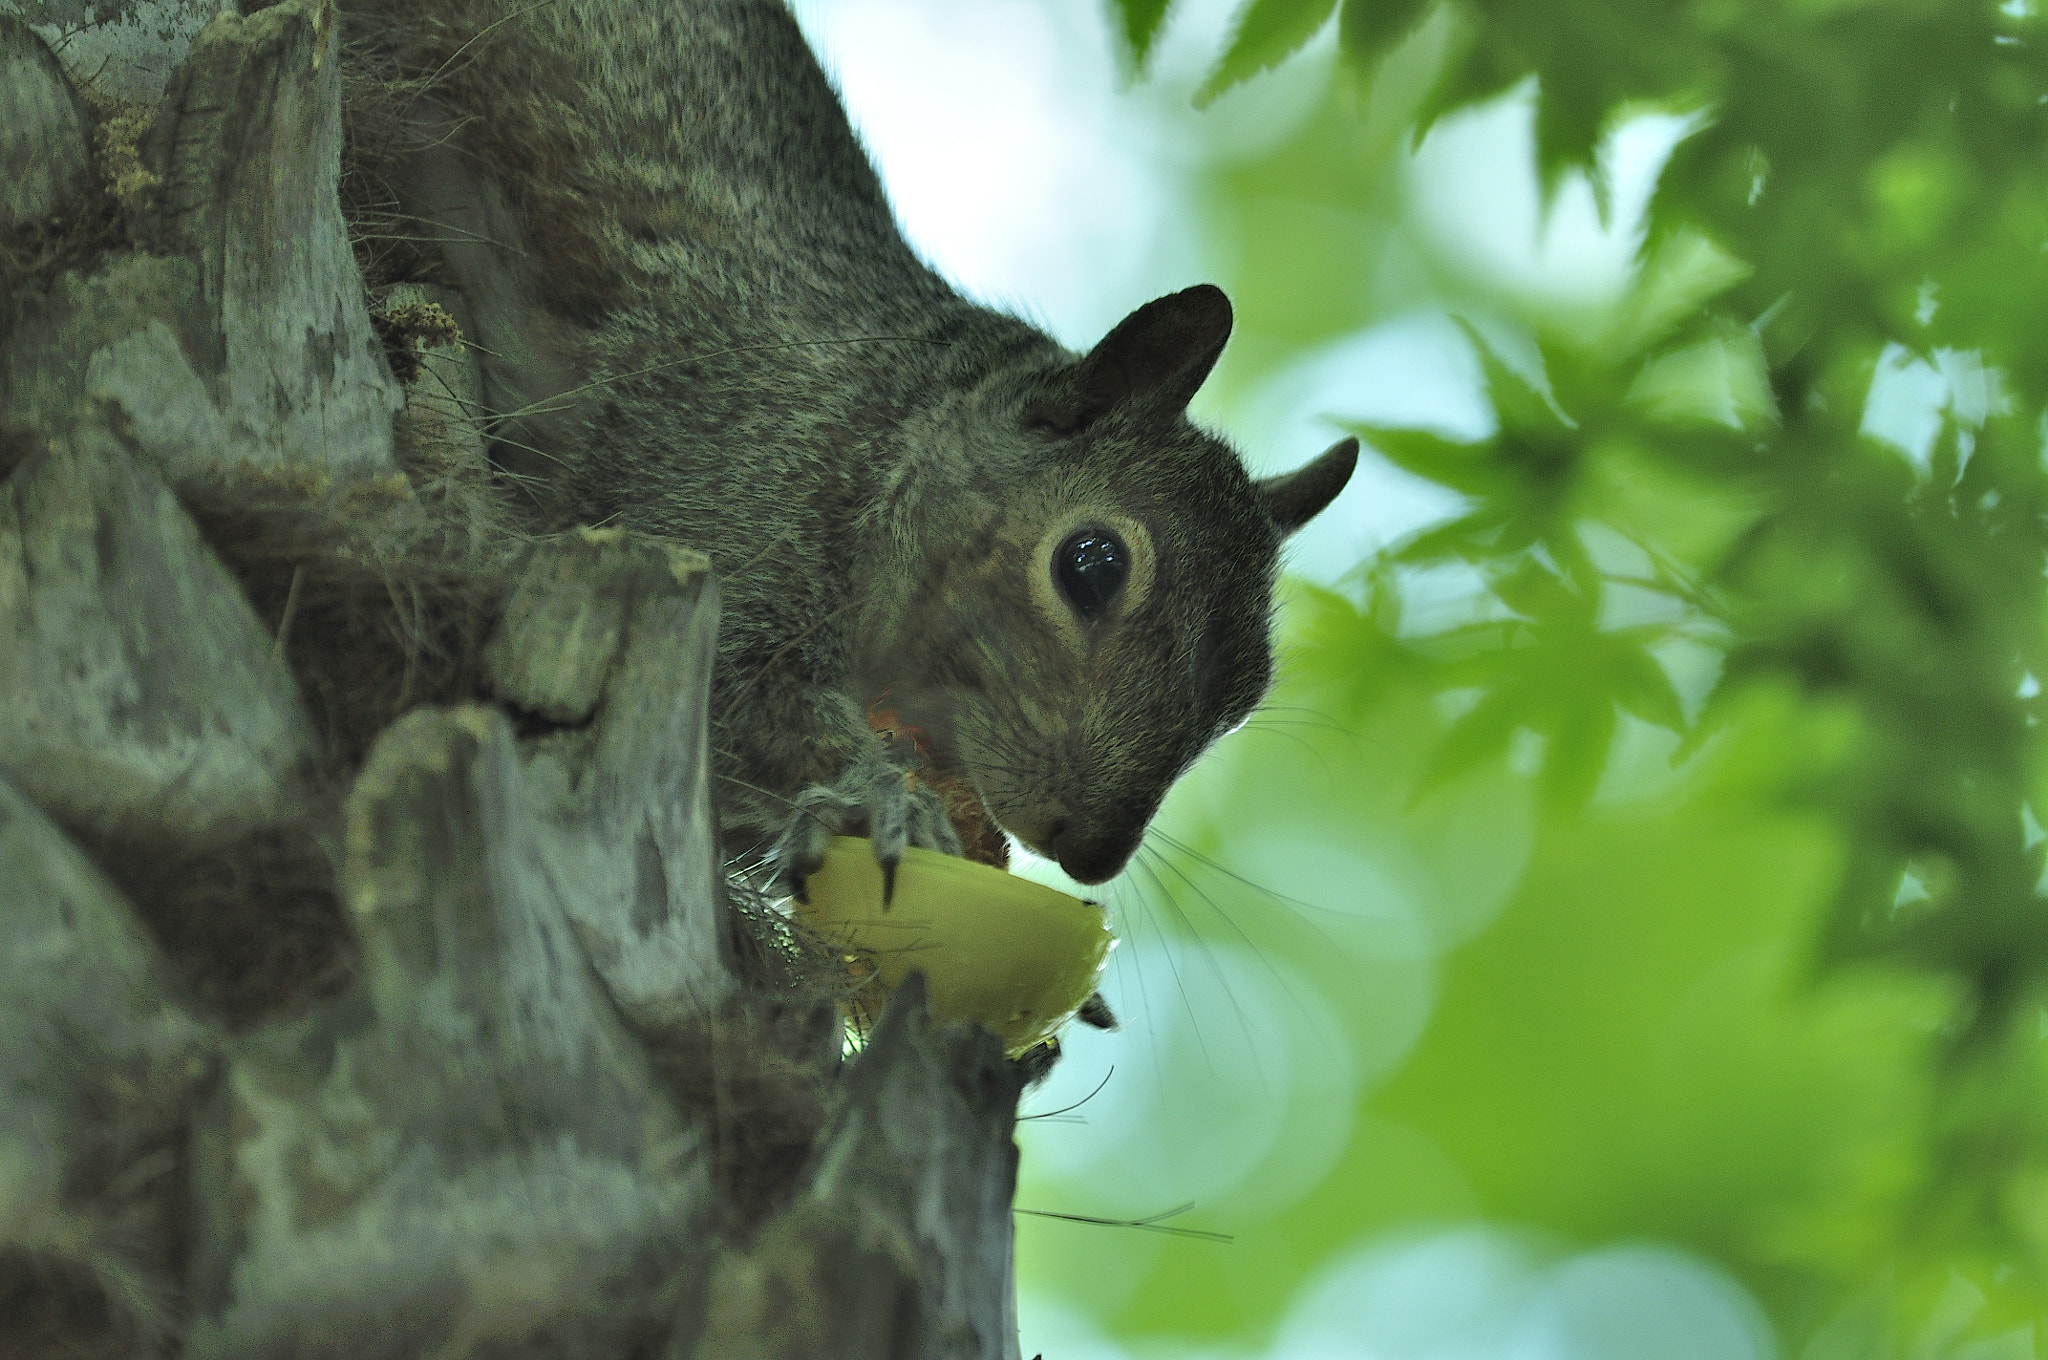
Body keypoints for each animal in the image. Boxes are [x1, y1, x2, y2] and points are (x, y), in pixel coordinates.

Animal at [340, 0, 1357, 896]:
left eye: (1244, 698)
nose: (1093, 854)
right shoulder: (725, 461)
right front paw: (883, 797)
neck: (884, 432)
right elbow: (742, 689)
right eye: (1093, 565)